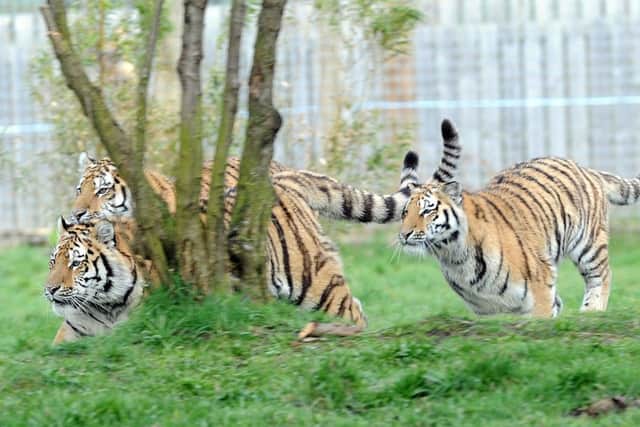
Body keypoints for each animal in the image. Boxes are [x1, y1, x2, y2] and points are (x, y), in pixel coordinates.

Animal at [66, 151, 420, 331]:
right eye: (79, 188)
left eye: (104, 189)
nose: (75, 213)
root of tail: (286, 173)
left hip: (312, 278)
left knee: (349, 308)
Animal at [398, 119, 640, 318]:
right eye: (405, 213)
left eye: (427, 211)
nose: (404, 234)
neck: (454, 256)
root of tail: (586, 168)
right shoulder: (488, 310)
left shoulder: (541, 285)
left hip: (588, 244)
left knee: (602, 275)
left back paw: (591, 312)